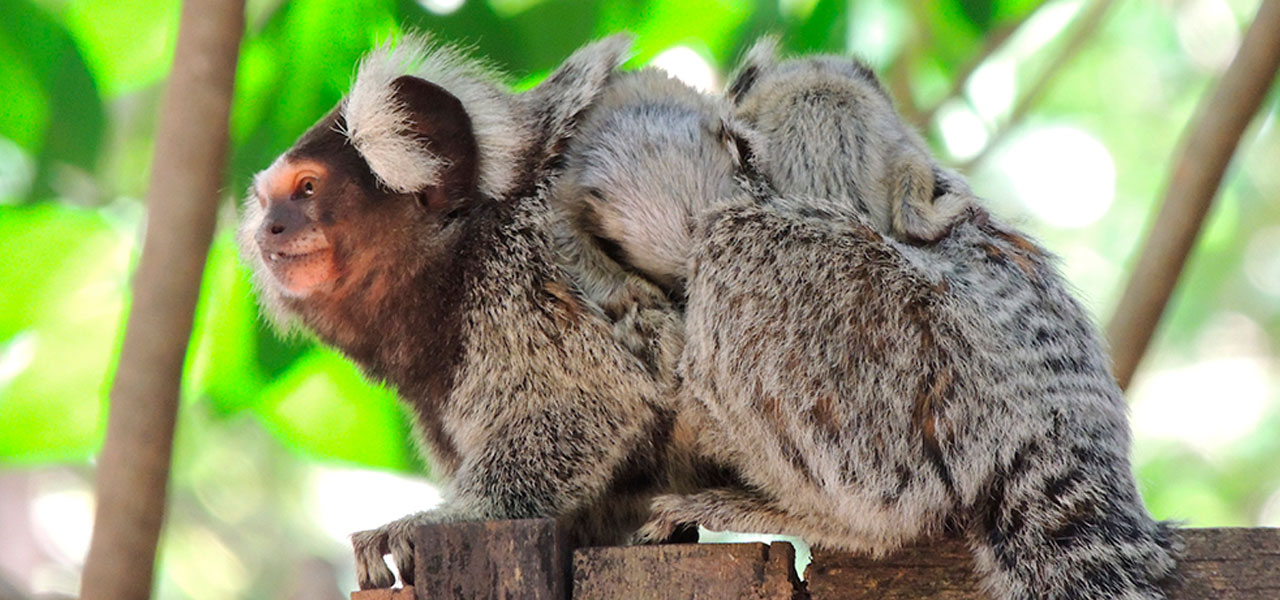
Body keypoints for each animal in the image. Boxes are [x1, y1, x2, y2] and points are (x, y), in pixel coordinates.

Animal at [236, 33, 686, 588]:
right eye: (267, 201)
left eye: (307, 188)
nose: (269, 229)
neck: (460, 247)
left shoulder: (525, 277)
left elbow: (598, 398)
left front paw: (443, 517)